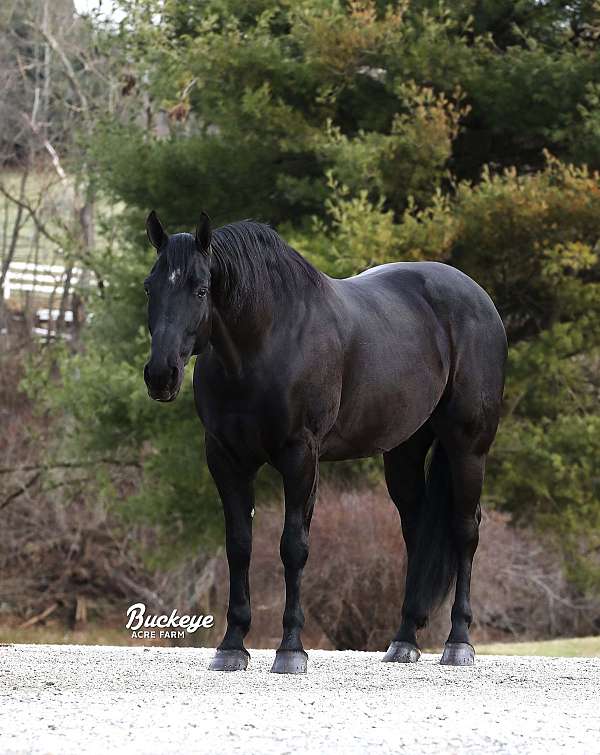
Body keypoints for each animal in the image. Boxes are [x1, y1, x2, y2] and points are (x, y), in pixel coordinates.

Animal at [144, 211, 506, 672]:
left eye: (201, 289)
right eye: (150, 286)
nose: (161, 375)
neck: (264, 345)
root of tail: (479, 298)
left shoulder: (300, 457)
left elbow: (293, 547)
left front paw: (290, 649)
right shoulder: (226, 459)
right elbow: (239, 545)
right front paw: (232, 645)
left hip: (468, 446)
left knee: (464, 530)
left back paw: (458, 642)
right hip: (404, 451)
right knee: (417, 532)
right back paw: (404, 641)